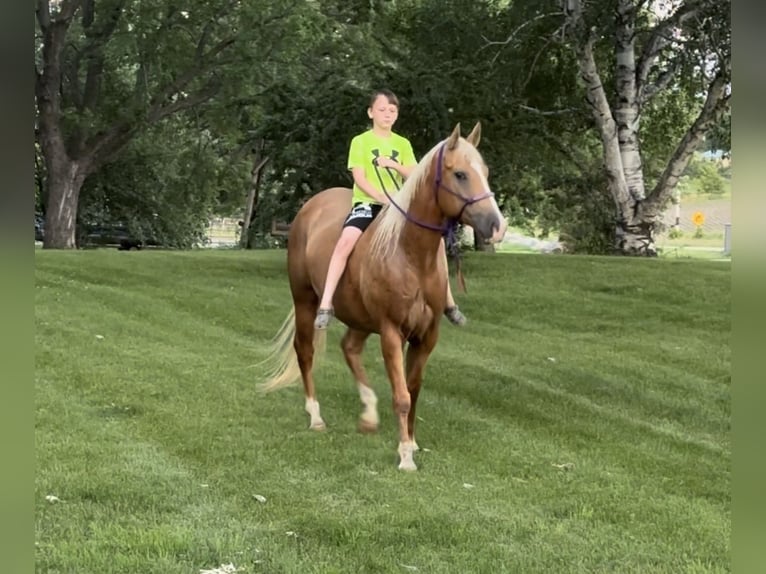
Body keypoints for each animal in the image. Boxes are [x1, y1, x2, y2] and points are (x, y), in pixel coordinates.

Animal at [260, 124, 508, 470]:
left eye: (484, 172)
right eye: (460, 174)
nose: (497, 226)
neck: (408, 254)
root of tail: (311, 206)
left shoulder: (426, 336)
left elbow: (413, 390)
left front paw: (412, 442)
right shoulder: (391, 331)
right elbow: (402, 396)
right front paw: (404, 455)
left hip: (359, 317)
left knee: (349, 348)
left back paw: (368, 412)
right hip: (305, 301)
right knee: (305, 352)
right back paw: (316, 416)